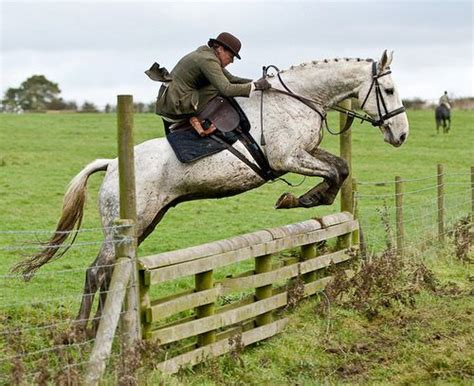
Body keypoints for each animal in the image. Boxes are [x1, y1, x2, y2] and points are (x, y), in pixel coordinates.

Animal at [12, 49, 410, 334]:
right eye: (389, 91)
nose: (401, 135)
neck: (297, 99)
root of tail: (111, 164)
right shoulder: (289, 157)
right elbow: (332, 173)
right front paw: (302, 199)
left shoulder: (307, 152)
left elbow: (340, 169)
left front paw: (305, 198)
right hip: (128, 224)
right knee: (97, 272)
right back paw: (81, 331)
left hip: (144, 223)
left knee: (107, 273)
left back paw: (97, 328)